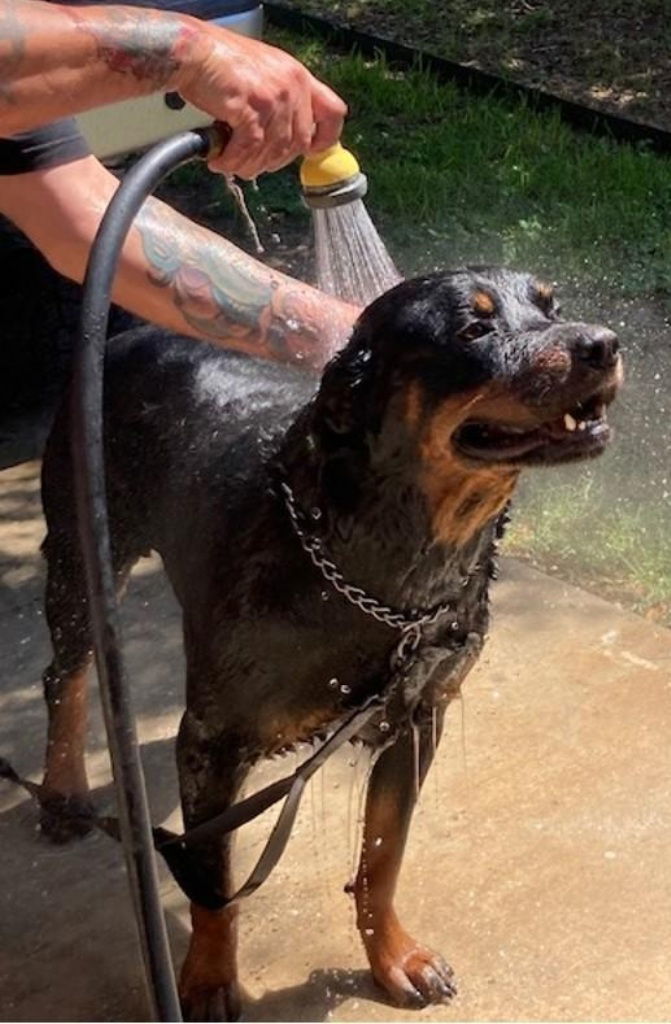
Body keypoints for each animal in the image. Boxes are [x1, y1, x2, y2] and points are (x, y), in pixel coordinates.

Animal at [39, 268, 622, 1019]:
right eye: (473, 328)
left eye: (551, 306)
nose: (601, 345)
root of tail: (124, 335)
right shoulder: (210, 742)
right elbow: (212, 882)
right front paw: (207, 979)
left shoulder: (417, 717)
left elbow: (383, 854)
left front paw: (393, 956)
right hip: (81, 551)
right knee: (66, 673)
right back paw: (62, 793)